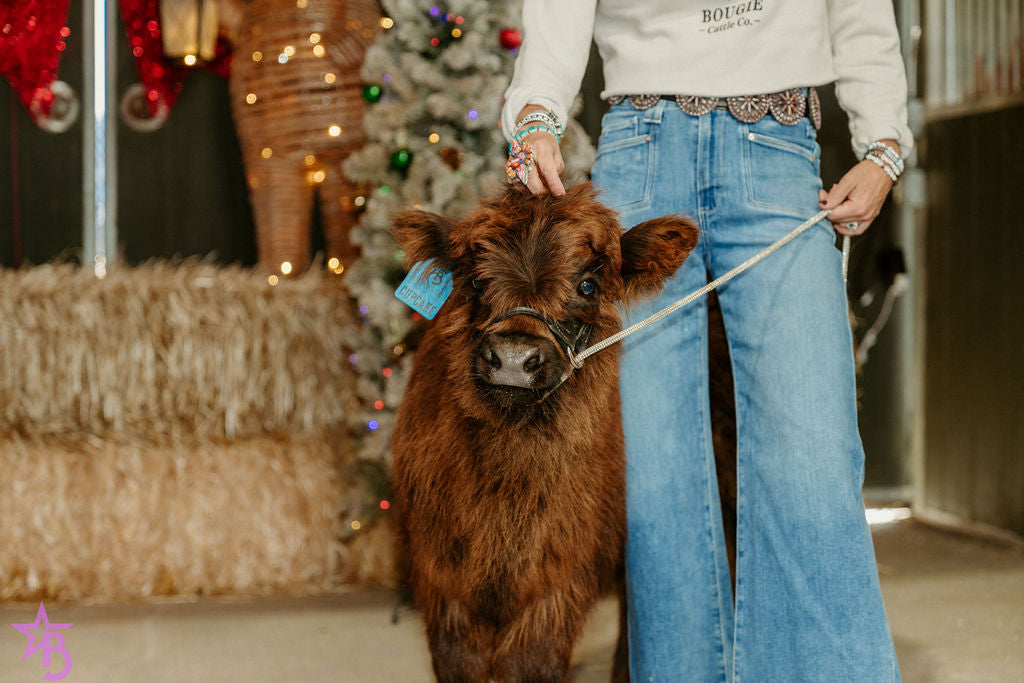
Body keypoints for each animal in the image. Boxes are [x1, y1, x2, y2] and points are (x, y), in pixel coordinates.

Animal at [390, 182, 700, 682]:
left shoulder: (556, 583)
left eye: (588, 285)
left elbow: (530, 664)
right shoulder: (444, 583)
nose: (514, 358)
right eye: (476, 281)